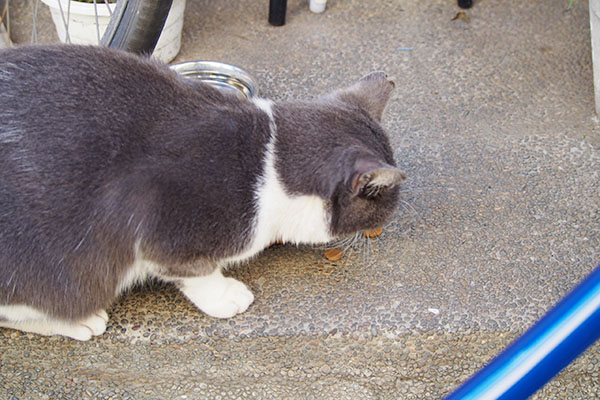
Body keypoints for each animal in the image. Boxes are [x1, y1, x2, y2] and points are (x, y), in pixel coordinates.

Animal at [0, 44, 406, 340]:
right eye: (384, 203)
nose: (384, 226)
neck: (269, 157)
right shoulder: (166, 226)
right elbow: (196, 272)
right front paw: (226, 296)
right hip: (56, 270)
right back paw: (79, 322)